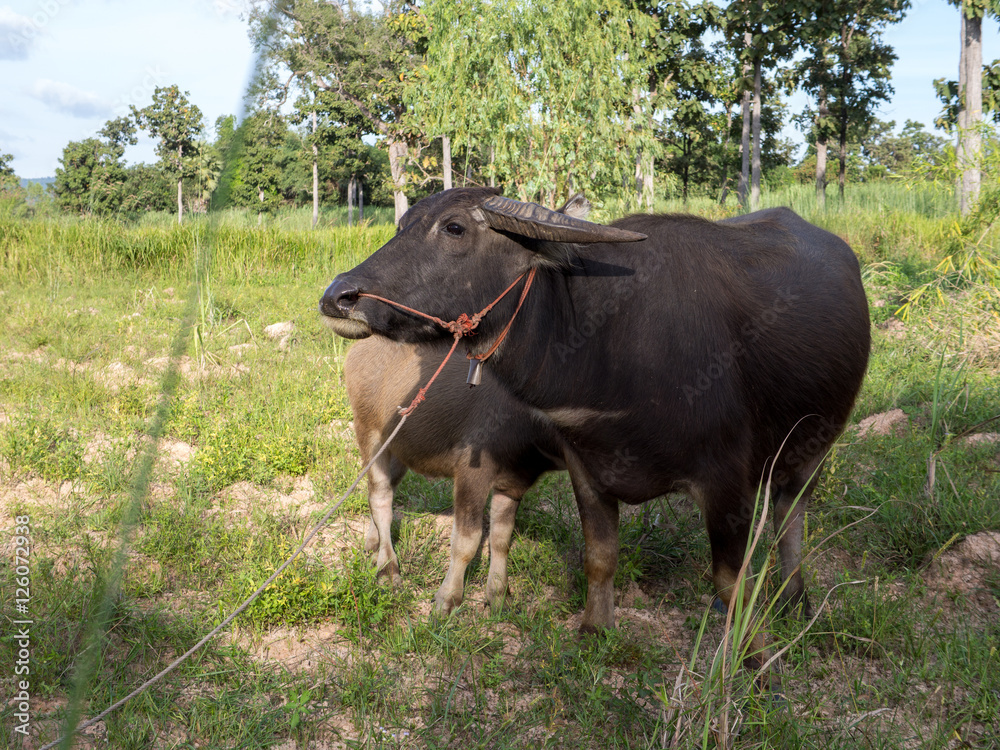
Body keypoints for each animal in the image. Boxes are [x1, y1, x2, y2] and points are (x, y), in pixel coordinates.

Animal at [321, 187, 870, 649]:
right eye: (402, 225)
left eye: (454, 227)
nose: (339, 296)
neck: (611, 353)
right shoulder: (587, 470)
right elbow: (600, 558)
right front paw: (594, 630)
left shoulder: (728, 481)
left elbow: (732, 582)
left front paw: (753, 660)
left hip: (814, 448)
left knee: (789, 515)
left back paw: (796, 595)